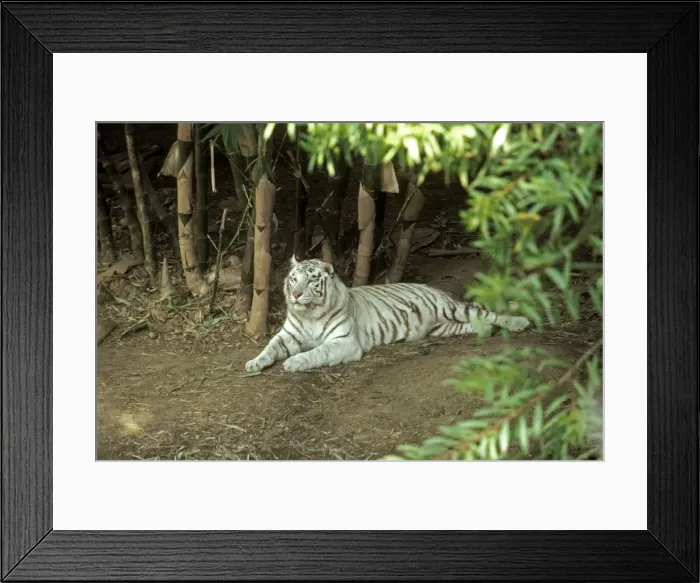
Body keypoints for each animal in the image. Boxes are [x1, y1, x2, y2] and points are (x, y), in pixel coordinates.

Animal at [244, 257, 531, 373]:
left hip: (452, 308)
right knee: (471, 324)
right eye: (294, 279)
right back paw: (484, 331)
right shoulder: (287, 336)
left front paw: (294, 362)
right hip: (441, 326)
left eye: (312, 280)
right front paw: (254, 363)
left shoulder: (344, 342)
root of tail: (435, 288)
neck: (310, 315)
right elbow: (269, 348)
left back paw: (519, 322)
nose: (295, 294)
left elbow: (318, 351)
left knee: (487, 313)